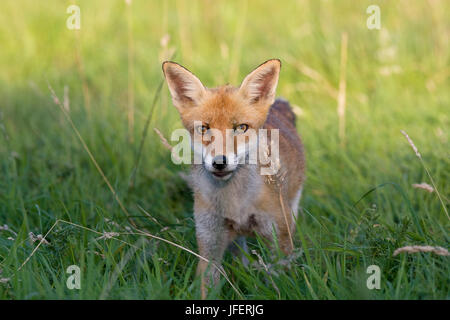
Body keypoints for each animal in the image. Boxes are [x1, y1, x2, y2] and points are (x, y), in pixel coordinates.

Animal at [162, 59, 306, 298]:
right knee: (241, 257)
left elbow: (281, 282)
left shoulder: (278, 237)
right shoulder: (210, 242)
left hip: (290, 212)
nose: (219, 162)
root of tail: (278, 108)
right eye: (204, 128)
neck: (236, 202)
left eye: (241, 128)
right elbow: (207, 288)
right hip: (232, 239)